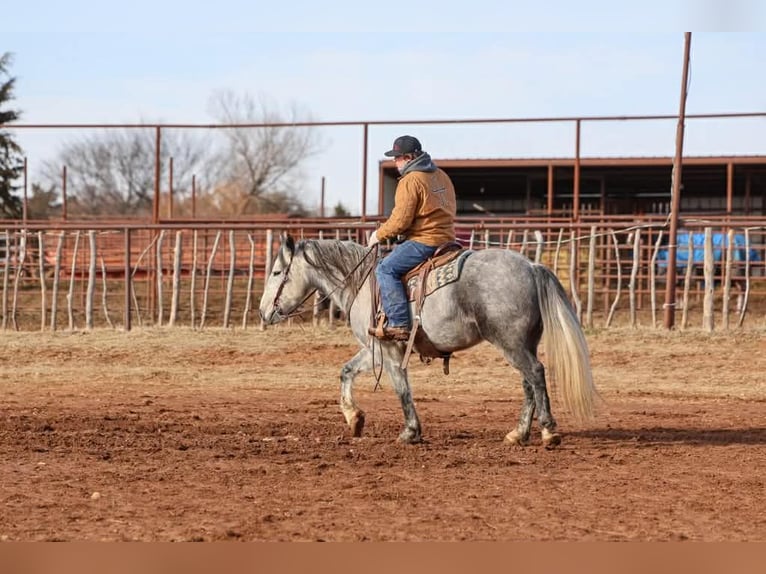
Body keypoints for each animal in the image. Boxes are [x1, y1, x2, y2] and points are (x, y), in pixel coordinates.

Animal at [258, 234, 598, 448]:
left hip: (511, 343)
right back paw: (518, 434)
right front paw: (354, 419)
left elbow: (401, 389)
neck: (362, 283)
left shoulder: (389, 351)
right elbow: (346, 371)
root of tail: (531, 266)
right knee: (528, 383)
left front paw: (410, 432)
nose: (263, 312)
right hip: (520, 343)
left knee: (536, 374)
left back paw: (548, 431)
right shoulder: (374, 350)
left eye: (276, 272)